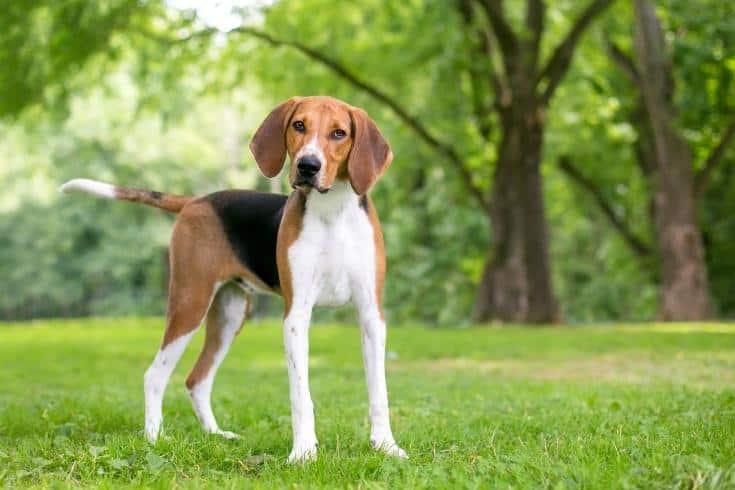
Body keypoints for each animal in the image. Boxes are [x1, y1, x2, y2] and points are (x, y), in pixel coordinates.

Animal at [61, 95, 408, 464]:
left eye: (339, 133)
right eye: (299, 125)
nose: (308, 166)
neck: (333, 213)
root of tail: (196, 201)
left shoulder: (371, 315)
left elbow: (379, 392)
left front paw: (386, 446)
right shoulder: (296, 316)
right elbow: (301, 395)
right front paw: (303, 452)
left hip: (228, 315)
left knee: (197, 380)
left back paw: (215, 435)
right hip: (191, 303)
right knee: (155, 375)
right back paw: (154, 439)